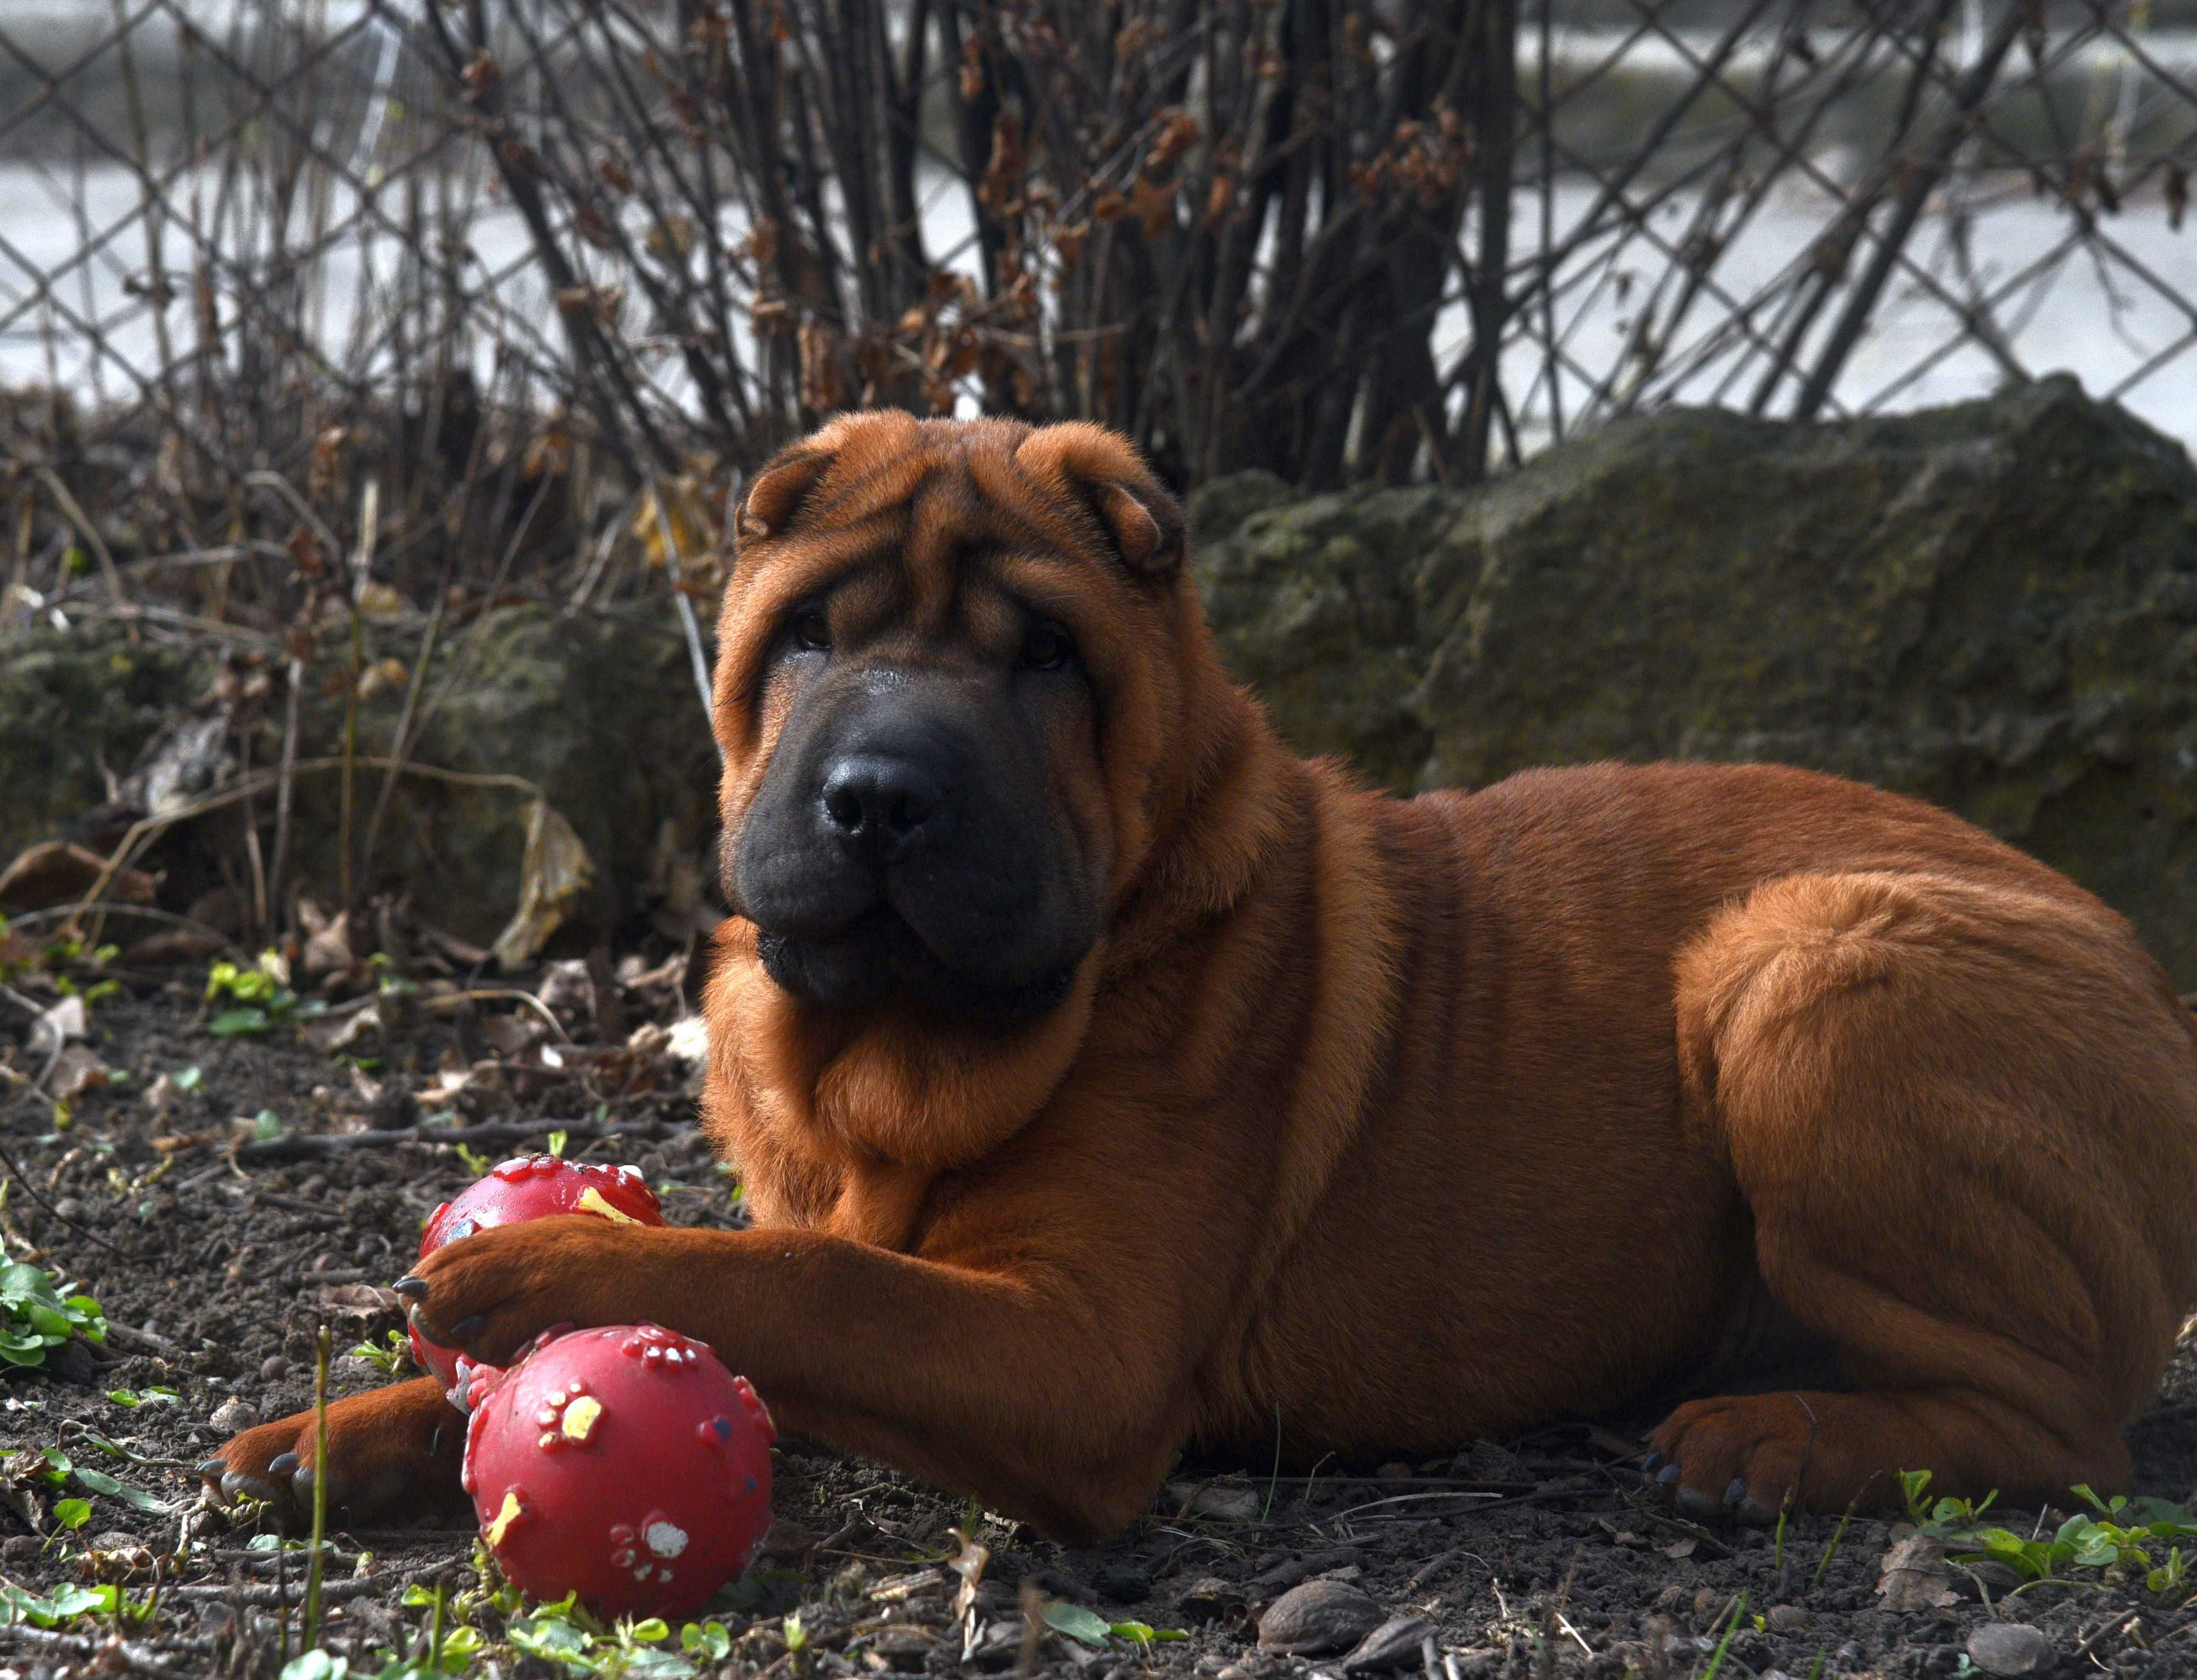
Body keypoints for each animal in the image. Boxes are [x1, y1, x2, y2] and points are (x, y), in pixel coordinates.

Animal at [214, 412, 2197, 1537]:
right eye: (812, 636)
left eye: (1041, 658)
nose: (879, 794)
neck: (889, 1049)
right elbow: (773, 1288)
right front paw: (350, 1427)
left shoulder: (1076, 1350)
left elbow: (807, 1281)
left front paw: (535, 1269)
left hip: (1803, 972)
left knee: (2065, 1426)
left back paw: (1766, 1439)